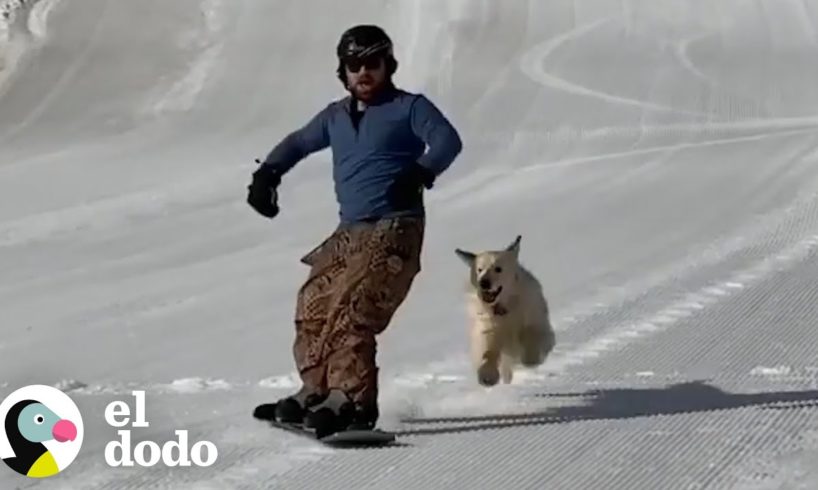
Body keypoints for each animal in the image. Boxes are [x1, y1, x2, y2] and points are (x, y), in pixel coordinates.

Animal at [452, 236, 556, 386]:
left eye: (498, 269)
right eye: (479, 269)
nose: (484, 282)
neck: (503, 309)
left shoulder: (537, 322)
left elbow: (532, 336)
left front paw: (530, 357)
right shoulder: (487, 330)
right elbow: (488, 352)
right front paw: (487, 375)